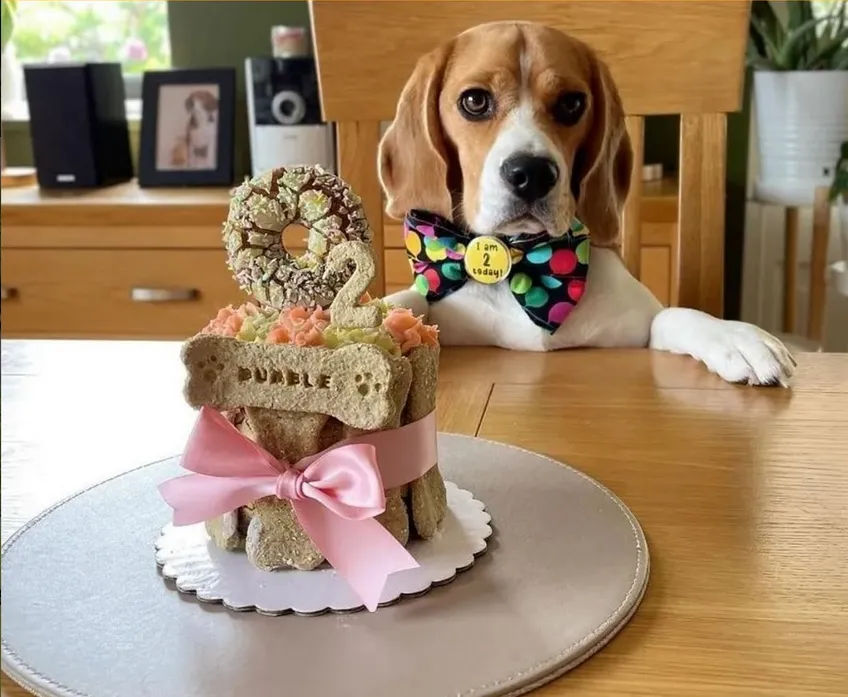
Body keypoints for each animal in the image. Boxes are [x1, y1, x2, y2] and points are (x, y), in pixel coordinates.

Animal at [378, 21, 795, 386]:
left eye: (571, 104)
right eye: (475, 101)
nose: (532, 173)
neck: (521, 262)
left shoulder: (636, 325)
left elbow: (670, 316)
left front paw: (732, 336)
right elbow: (408, 300)